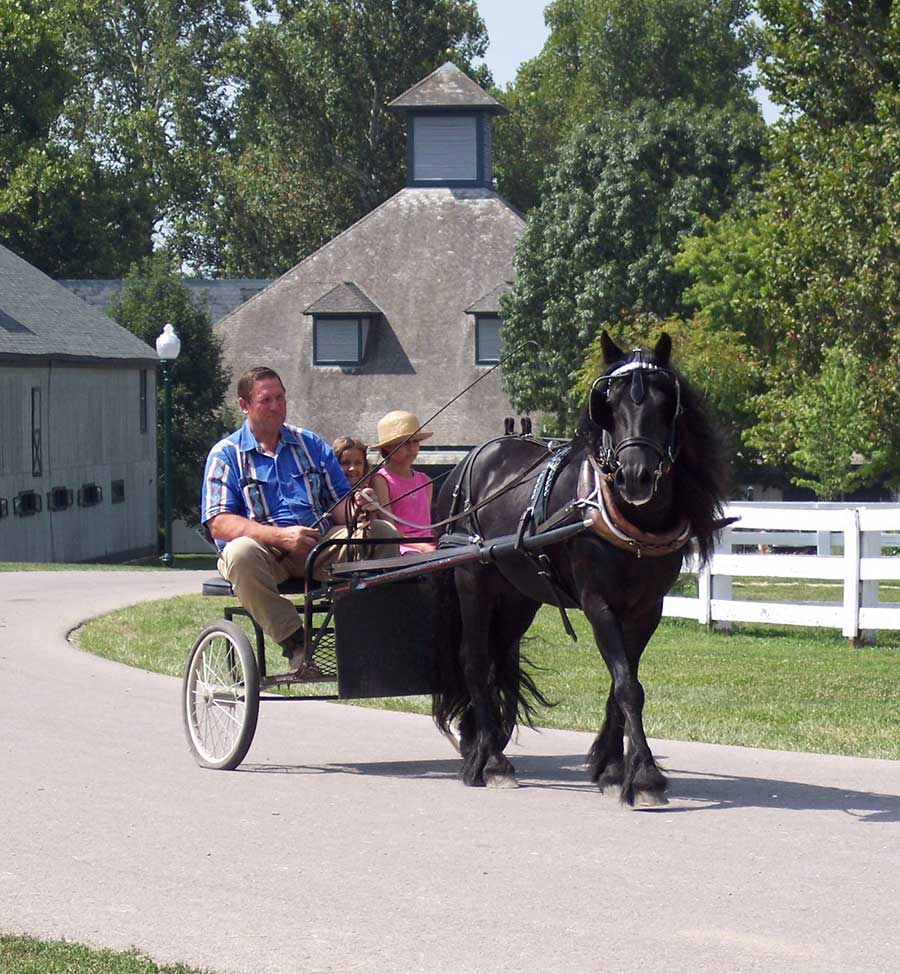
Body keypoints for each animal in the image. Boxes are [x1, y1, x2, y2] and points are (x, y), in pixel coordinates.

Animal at [432, 331, 729, 805]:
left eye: (667, 403)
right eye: (608, 403)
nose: (635, 477)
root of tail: (471, 459)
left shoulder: (647, 609)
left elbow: (623, 685)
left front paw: (612, 768)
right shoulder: (598, 603)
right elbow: (627, 685)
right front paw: (645, 776)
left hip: (517, 595)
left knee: (498, 659)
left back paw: (484, 743)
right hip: (472, 579)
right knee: (474, 661)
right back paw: (492, 763)